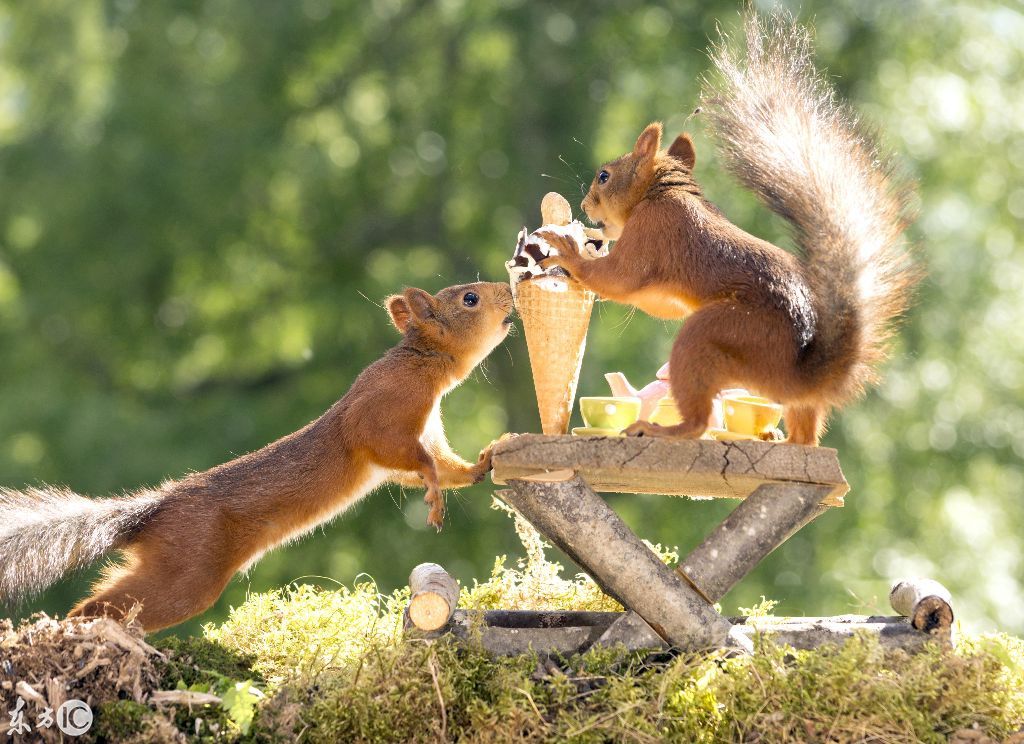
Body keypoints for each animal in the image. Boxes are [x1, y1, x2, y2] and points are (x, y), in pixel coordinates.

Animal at [0, 282, 512, 630]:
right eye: (469, 299)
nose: (508, 291)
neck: (422, 363)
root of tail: (154, 510)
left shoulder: (425, 434)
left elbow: (439, 465)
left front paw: (482, 463)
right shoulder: (379, 413)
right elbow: (406, 456)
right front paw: (434, 497)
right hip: (188, 572)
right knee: (99, 607)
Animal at [540, 14, 917, 446]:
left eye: (604, 176)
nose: (585, 205)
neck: (660, 193)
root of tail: (797, 375)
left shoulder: (653, 231)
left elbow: (620, 279)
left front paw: (567, 250)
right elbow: (658, 301)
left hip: (717, 333)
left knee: (699, 420)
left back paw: (659, 428)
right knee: (805, 435)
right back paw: (783, 439)